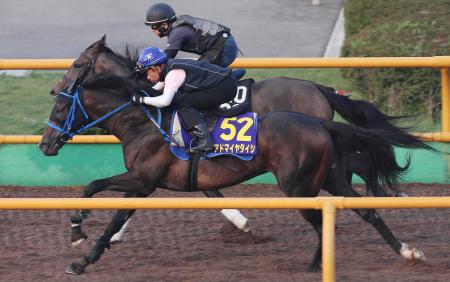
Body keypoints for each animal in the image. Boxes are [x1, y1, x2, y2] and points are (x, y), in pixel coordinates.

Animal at [40, 70, 424, 274]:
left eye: (59, 108)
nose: (45, 145)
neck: (144, 122)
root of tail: (319, 122)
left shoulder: (143, 179)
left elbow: (93, 187)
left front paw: (78, 236)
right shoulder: (144, 185)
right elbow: (115, 215)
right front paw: (84, 254)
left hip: (298, 187)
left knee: (322, 220)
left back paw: (318, 264)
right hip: (329, 177)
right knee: (366, 212)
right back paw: (406, 250)